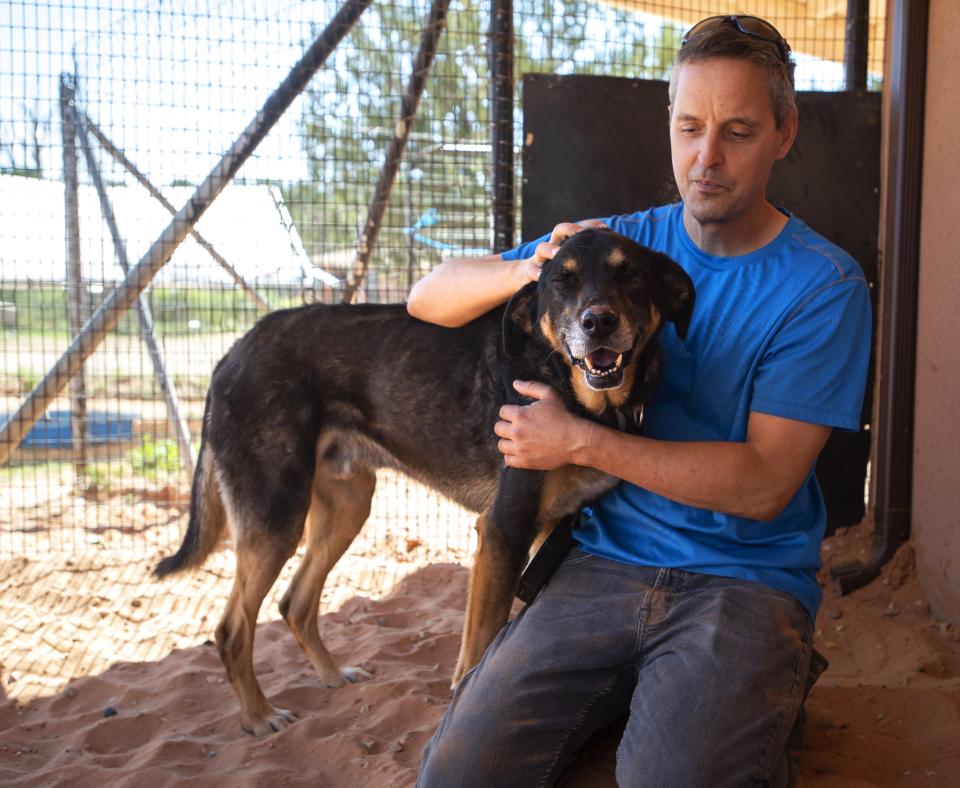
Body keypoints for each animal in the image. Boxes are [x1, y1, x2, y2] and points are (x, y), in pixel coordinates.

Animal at [159, 229, 696, 740]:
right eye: (562, 281)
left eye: (629, 274)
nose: (598, 322)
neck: (571, 391)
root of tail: (233, 351)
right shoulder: (502, 531)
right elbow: (480, 647)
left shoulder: (544, 529)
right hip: (276, 516)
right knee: (232, 629)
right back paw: (259, 717)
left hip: (347, 508)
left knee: (295, 603)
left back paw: (332, 677)